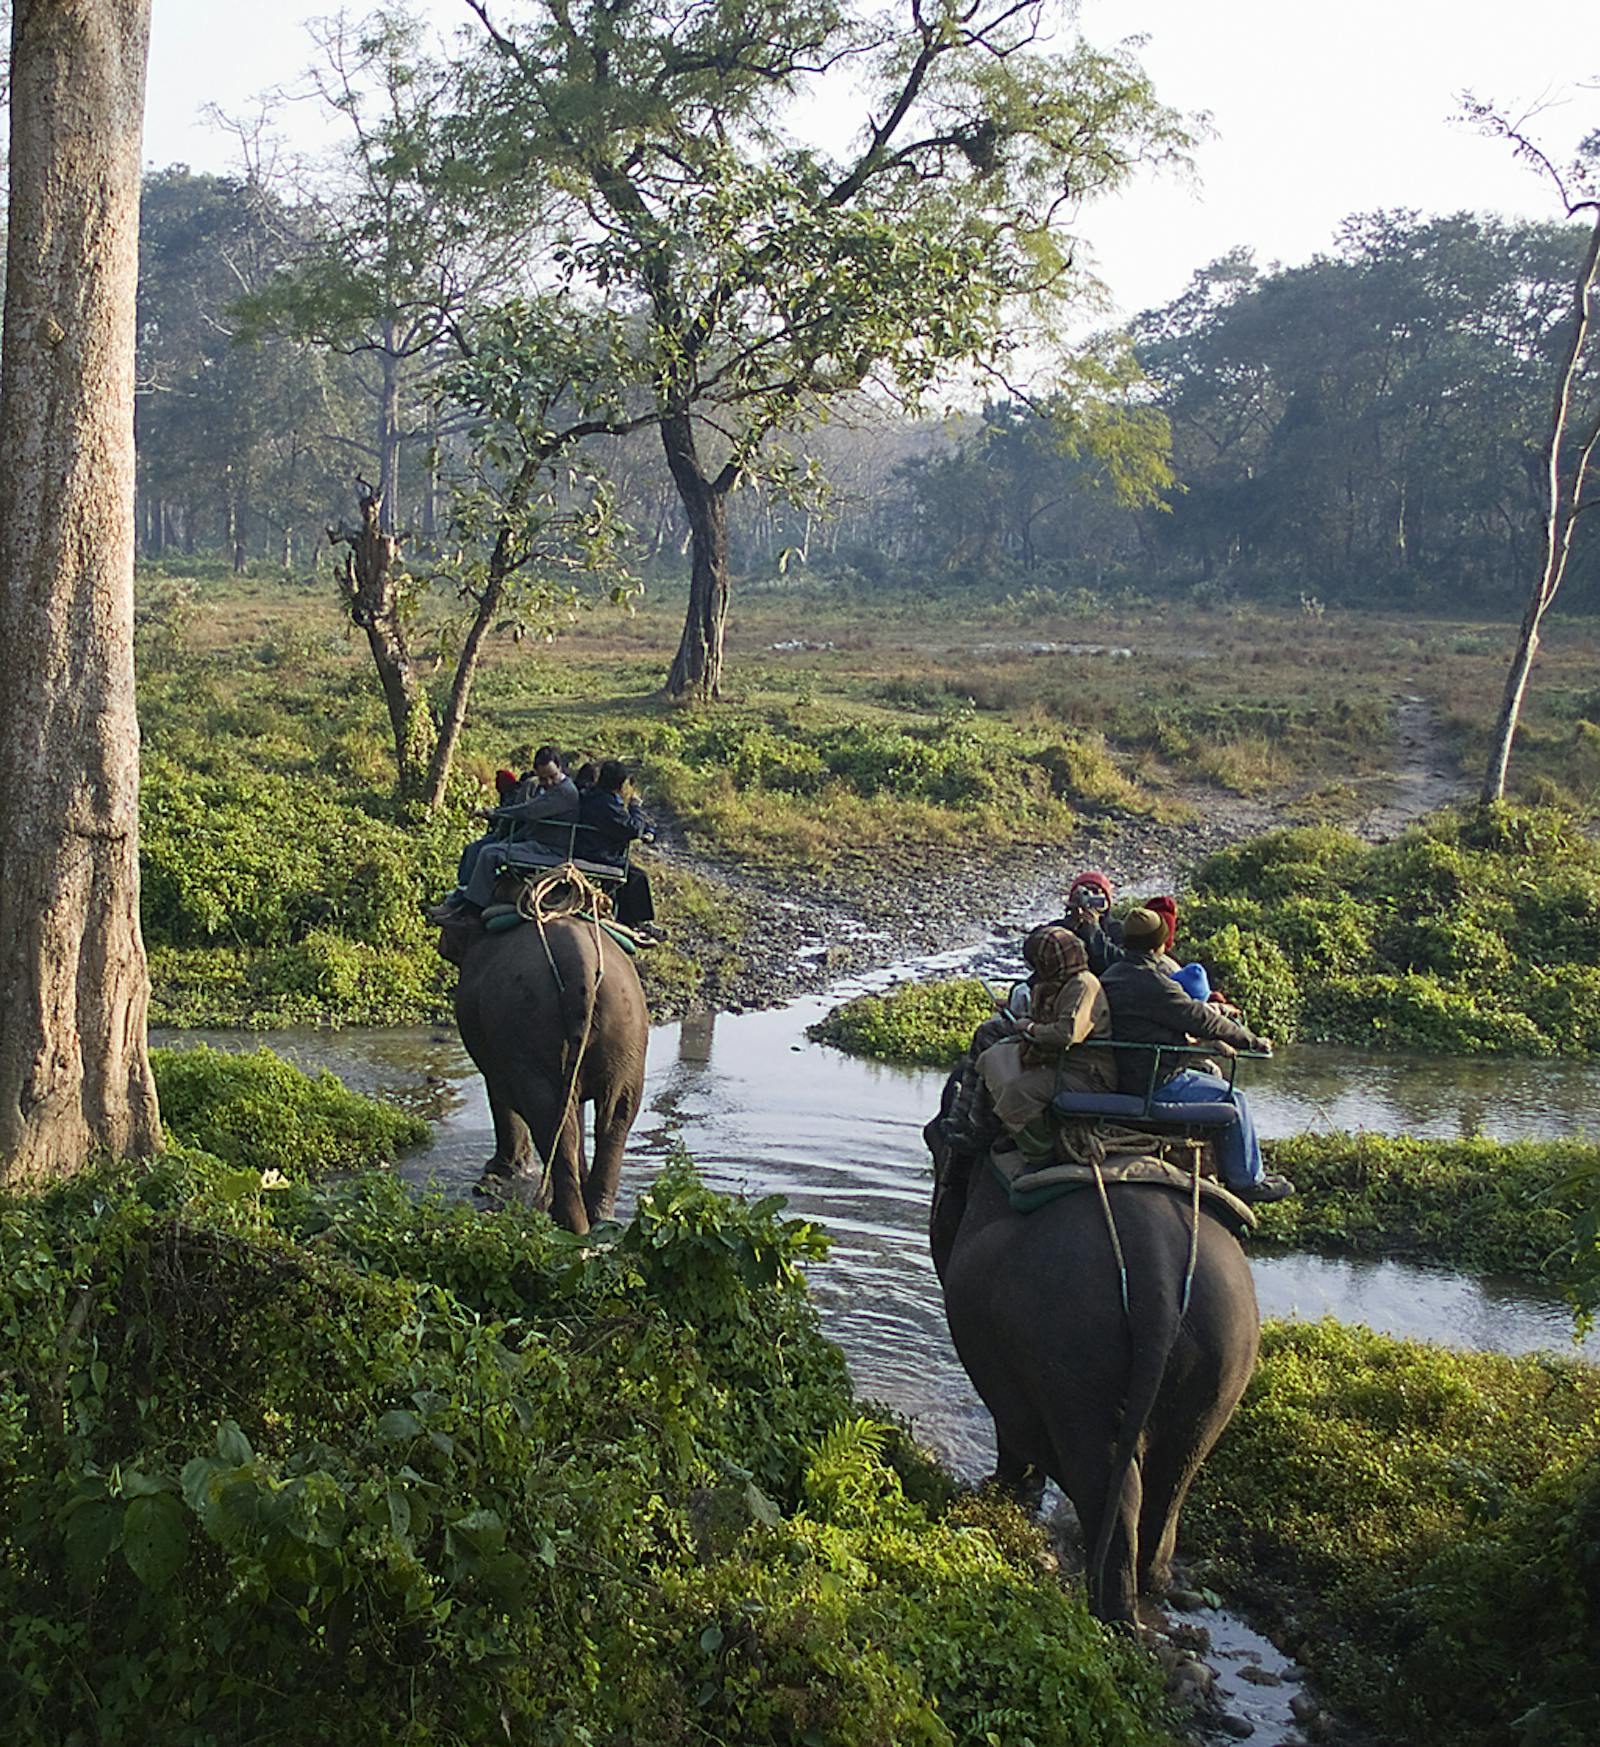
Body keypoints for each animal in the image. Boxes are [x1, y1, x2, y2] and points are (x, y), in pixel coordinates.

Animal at [440, 915, 646, 1229]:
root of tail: (581, 961)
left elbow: (499, 1096)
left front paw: (498, 1173)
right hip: (627, 1033)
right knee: (614, 1118)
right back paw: (599, 1218)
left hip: (531, 1033)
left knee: (552, 1124)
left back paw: (568, 1222)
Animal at [922, 1076, 1264, 1621]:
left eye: (933, 1136)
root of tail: (1156, 1276)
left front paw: (1004, 1490)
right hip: (1223, 1355)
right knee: (1173, 1478)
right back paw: (1150, 1587)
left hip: (1074, 1353)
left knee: (1109, 1484)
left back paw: (1110, 1613)